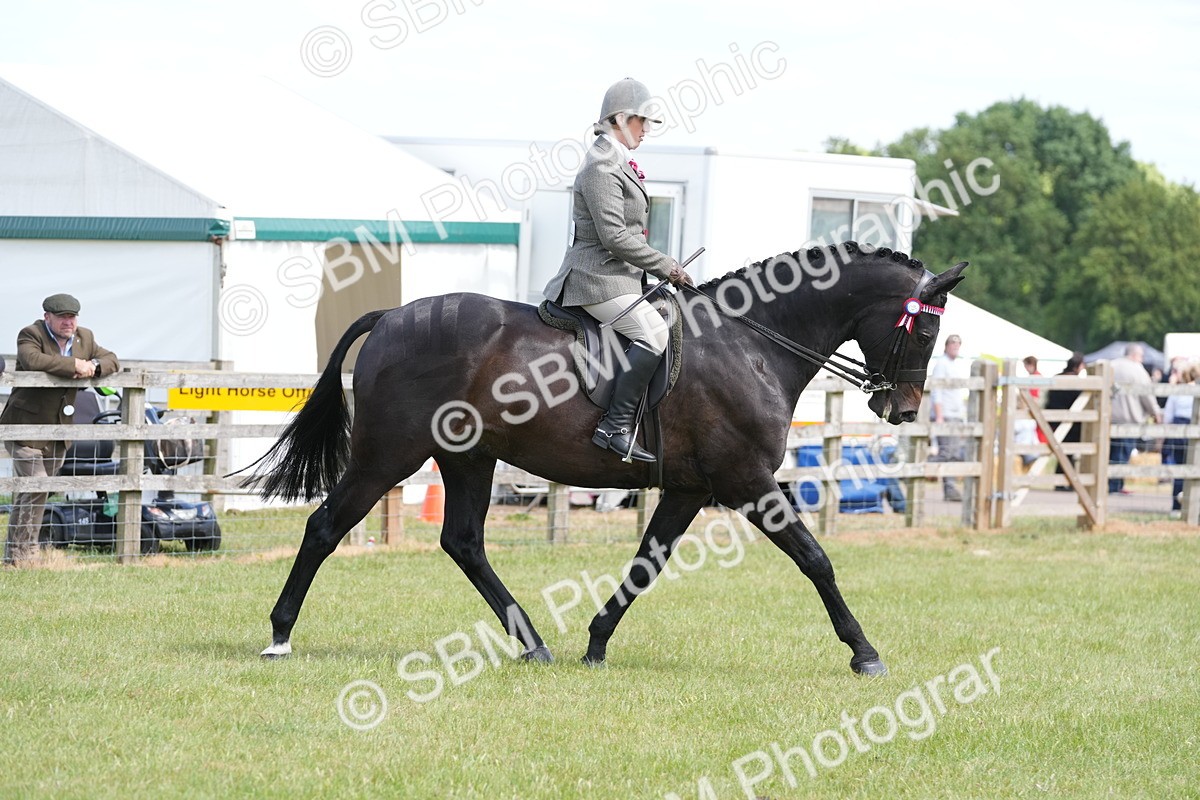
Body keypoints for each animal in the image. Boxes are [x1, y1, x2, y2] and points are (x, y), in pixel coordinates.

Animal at [248, 241, 968, 676]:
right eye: (927, 329)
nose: (904, 410)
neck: (751, 344)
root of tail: (393, 315)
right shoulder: (747, 480)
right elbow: (815, 558)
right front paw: (864, 652)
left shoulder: (689, 489)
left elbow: (648, 563)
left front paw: (595, 642)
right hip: (389, 454)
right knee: (325, 527)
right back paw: (279, 635)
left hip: (468, 457)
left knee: (464, 543)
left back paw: (534, 643)